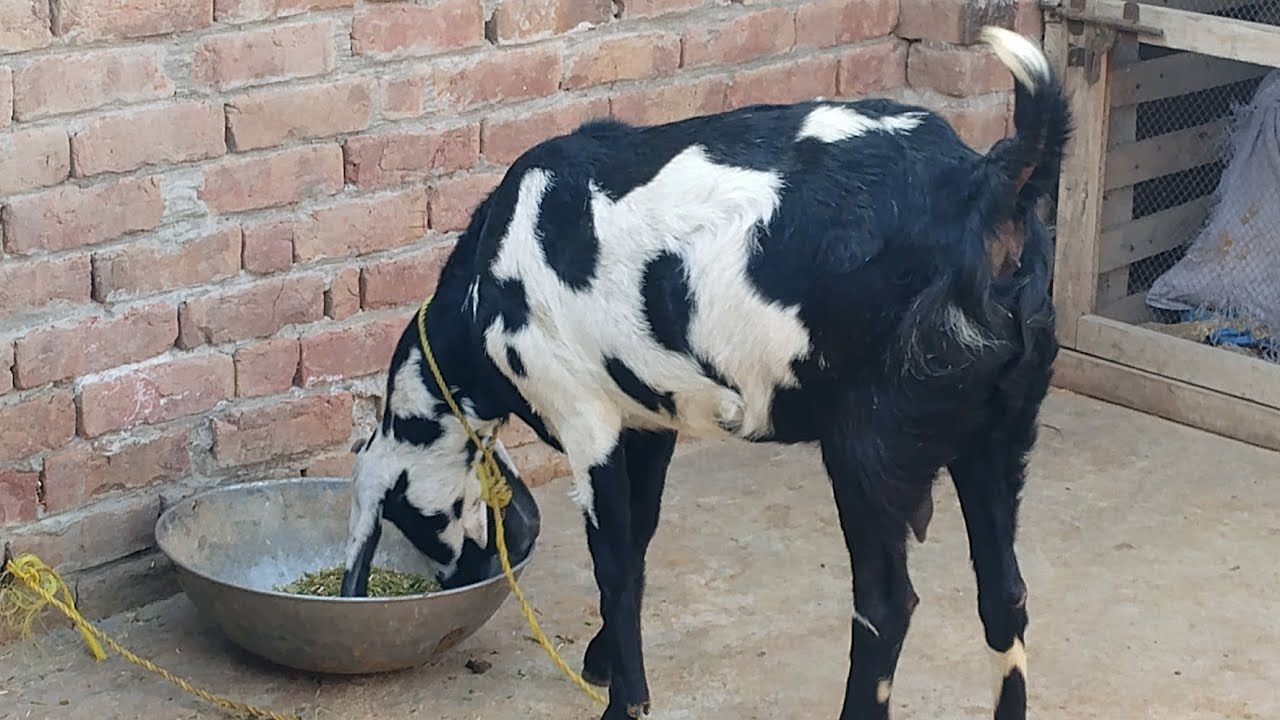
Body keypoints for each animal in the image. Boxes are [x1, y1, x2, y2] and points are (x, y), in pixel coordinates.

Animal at [338, 26, 1071, 720]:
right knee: (1005, 595)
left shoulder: (586, 418)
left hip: (872, 447)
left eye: (402, 515)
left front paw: (624, 701)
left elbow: (613, 563)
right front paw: (605, 661)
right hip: (999, 431)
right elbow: (639, 542)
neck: (480, 292)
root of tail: (989, 186)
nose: (469, 570)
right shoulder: (647, 421)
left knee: (887, 606)